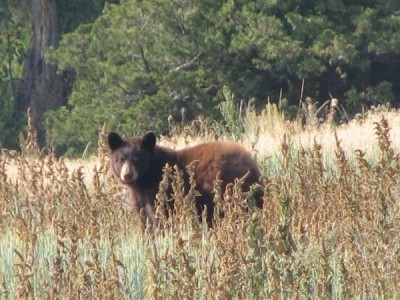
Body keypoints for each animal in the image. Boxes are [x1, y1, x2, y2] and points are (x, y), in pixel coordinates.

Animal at [107, 131, 262, 227]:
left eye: (137, 159)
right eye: (120, 159)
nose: (127, 175)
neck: (144, 179)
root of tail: (251, 164)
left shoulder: (161, 190)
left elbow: (161, 215)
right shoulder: (140, 197)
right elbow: (144, 217)